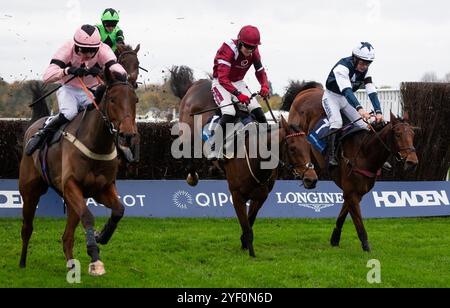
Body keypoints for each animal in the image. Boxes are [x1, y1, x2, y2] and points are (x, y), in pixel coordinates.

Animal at [18, 71, 139, 276]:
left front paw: (101, 236)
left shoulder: (102, 188)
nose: (128, 134)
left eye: (135, 100)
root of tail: (35, 125)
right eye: (112, 99)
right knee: (27, 227)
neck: (96, 144)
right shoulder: (70, 185)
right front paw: (95, 256)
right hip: (30, 192)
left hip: (72, 200)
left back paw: (72, 265)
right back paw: (22, 262)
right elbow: (88, 216)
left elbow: (119, 210)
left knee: (67, 236)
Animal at [171, 67, 318, 258]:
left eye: (308, 147)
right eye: (292, 148)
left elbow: (250, 222)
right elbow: (246, 226)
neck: (256, 159)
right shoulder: (237, 195)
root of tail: (196, 84)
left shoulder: (261, 195)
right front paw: (251, 252)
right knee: (187, 153)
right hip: (187, 130)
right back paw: (193, 176)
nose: (311, 179)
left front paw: (244, 243)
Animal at [284, 82, 420, 253]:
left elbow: (343, 215)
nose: (412, 161)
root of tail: (308, 90)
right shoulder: (352, 193)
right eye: (397, 134)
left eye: (412, 134)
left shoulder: (355, 193)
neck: (364, 153)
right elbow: (359, 223)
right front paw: (366, 247)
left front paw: (334, 239)